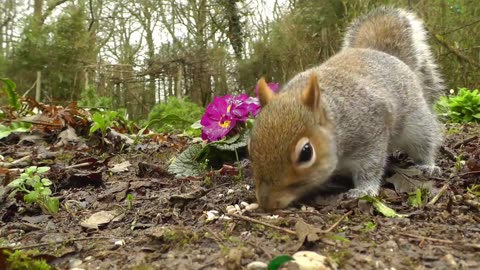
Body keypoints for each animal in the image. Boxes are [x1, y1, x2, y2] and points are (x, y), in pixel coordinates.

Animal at [249, 5, 444, 209]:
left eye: (306, 153)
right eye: (249, 147)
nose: (267, 203)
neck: (336, 118)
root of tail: (385, 54)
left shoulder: (370, 132)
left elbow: (370, 166)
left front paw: (364, 190)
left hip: (417, 122)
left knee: (425, 142)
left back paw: (428, 165)